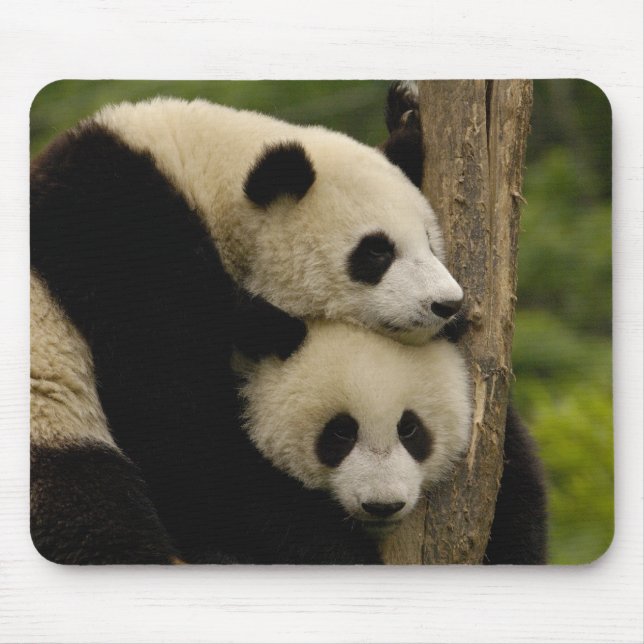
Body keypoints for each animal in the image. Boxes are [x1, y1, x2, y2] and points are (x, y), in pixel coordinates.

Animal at [30, 85, 463, 563]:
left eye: (430, 243)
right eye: (376, 251)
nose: (448, 304)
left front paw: (405, 114)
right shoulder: (120, 246)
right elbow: (182, 429)